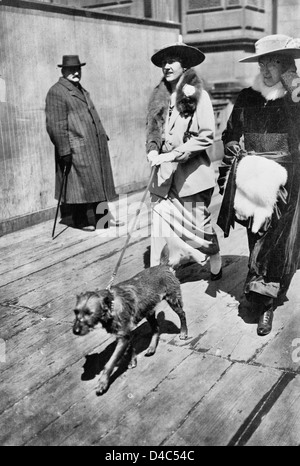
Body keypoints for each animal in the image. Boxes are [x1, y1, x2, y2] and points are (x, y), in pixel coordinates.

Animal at [72, 266, 188, 394]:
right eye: (75, 312)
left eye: (90, 313)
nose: (75, 331)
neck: (111, 306)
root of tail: (163, 266)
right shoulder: (124, 334)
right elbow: (130, 347)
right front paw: (132, 360)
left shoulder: (123, 337)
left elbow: (110, 362)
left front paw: (103, 382)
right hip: (149, 311)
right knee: (156, 328)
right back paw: (152, 347)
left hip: (173, 300)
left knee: (182, 314)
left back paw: (183, 332)